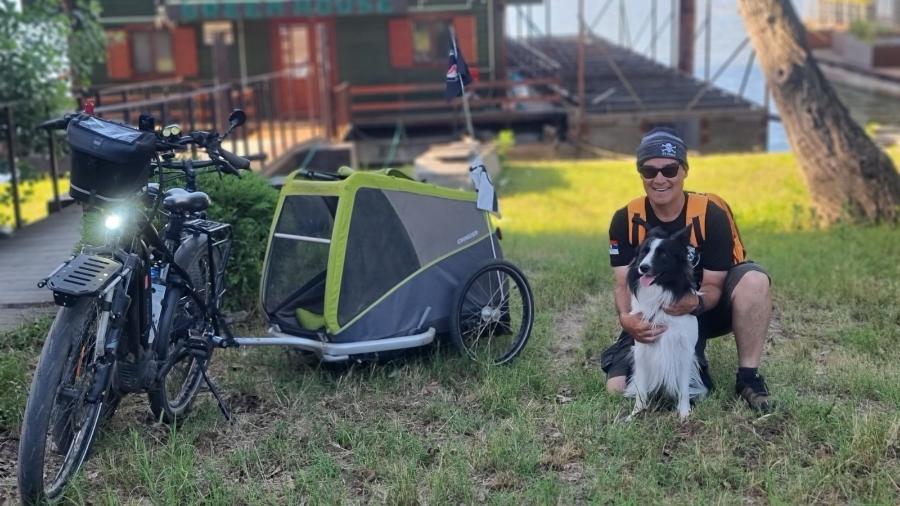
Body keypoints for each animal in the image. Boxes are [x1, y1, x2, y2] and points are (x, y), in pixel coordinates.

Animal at [624, 225, 712, 420]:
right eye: (644, 252)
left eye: (663, 255)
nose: (643, 267)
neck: (661, 292)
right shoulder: (642, 349)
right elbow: (641, 387)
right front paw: (636, 413)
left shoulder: (685, 350)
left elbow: (684, 388)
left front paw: (684, 413)